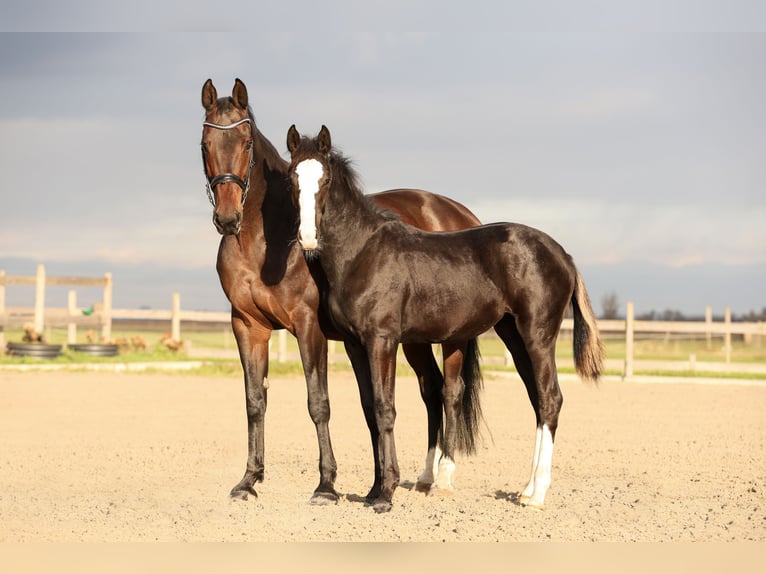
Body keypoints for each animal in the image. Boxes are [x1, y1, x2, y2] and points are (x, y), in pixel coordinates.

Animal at [201, 80, 484, 504]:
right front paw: (249, 480)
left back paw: (444, 477)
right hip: (415, 339)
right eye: (205, 143)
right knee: (430, 389)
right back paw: (424, 477)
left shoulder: (309, 327)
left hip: (451, 336)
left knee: (450, 390)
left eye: (247, 141)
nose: (228, 217)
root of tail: (461, 214)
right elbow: (255, 402)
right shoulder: (248, 327)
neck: (263, 242)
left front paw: (326, 484)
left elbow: (319, 403)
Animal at [288, 126, 608, 512]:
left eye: (326, 179)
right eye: (292, 178)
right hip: (514, 335)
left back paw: (538, 495)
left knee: (550, 398)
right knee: (536, 400)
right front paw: (372, 491)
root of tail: (563, 254)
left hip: (538, 334)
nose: (307, 238)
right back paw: (527, 488)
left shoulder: (382, 340)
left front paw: (386, 494)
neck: (362, 252)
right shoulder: (354, 344)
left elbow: (384, 408)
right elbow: (369, 410)